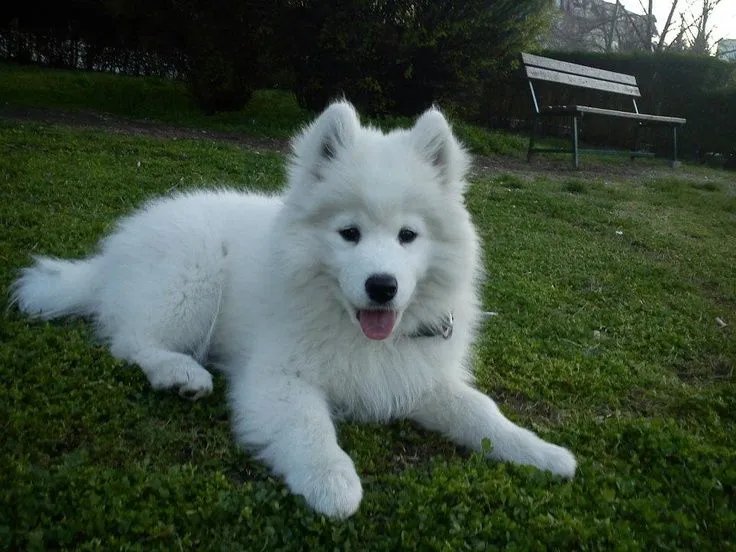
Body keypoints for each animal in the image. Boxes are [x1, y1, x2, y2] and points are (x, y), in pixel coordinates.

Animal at [11, 101, 576, 520]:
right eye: (349, 233)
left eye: (407, 235)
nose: (382, 286)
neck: (354, 329)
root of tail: (110, 256)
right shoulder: (276, 376)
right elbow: (308, 426)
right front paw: (332, 482)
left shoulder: (416, 374)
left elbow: (483, 412)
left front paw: (542, 453)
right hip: (191, 276)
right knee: (133, 340)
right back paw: (180, 372)